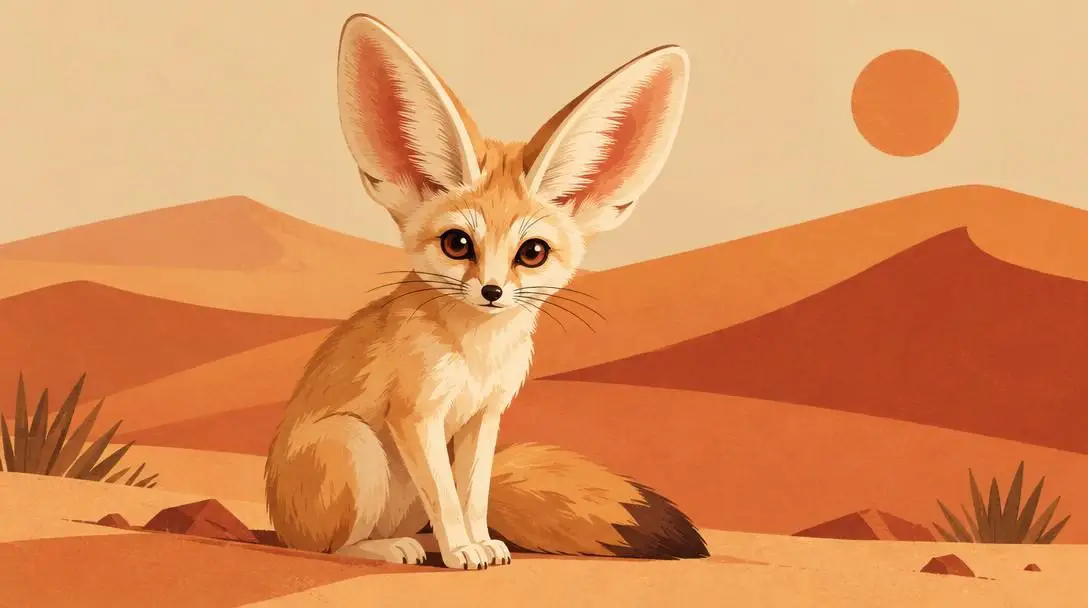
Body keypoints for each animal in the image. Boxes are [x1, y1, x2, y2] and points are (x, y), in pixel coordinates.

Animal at [264, 13, 705, 570]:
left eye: (532, 252)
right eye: (458, 244)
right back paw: (389, 548)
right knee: (327, 547)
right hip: (354, 445)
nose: (492, 290)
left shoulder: (483, 416)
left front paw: (478, 544)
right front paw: (461, 550)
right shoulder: (418, 416)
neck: (477, 353)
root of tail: (277, 526)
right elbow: (448, 499)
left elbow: (471, 495)